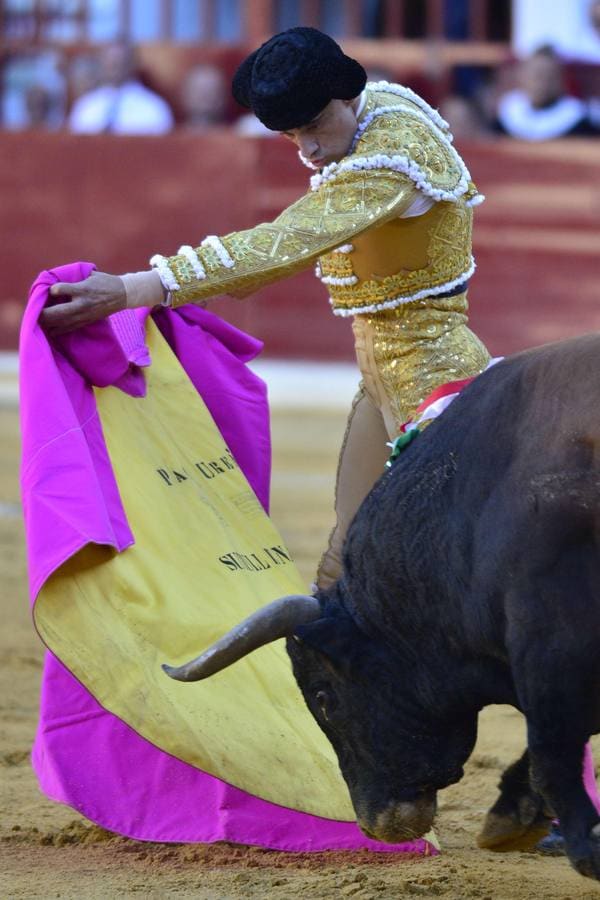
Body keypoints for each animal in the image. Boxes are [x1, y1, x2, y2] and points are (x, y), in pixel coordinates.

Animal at [162, 336, 600, 880]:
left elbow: (554, 737)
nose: (376, 825)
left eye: (324, 697)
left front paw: (582, 845)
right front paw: (517, 815)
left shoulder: (546, 629)